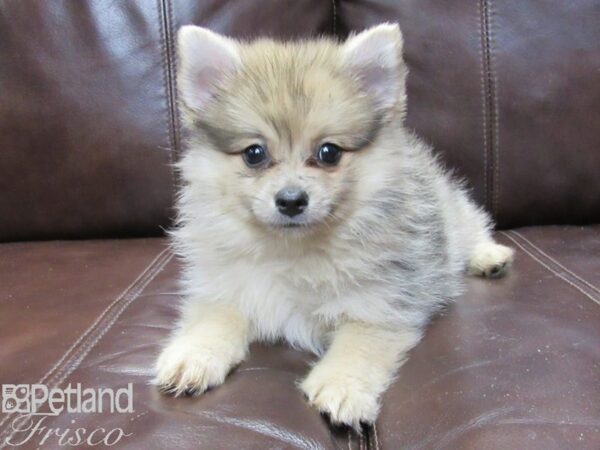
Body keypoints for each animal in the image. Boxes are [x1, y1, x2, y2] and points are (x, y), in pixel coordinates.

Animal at [152, 22, 512, 428]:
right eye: (254, 154)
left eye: (329, 152)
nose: (291, 200)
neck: (292, 251)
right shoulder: (226, 288)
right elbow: (213, 320)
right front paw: (193, 356)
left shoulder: (381, 304)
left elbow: (359, 344)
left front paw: (342, 386)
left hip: (452, 210)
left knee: (471, 228)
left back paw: (490, 257)